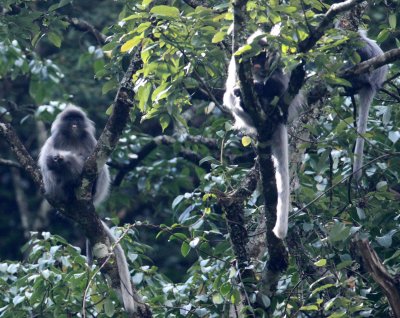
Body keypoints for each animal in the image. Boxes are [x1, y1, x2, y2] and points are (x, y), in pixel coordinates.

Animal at [39, 105, 136, 314]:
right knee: (51, 172)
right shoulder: (54, 140)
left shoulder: (91, 142)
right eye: (70, 120)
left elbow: (91, 161)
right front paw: (59, 160)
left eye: (77, 119)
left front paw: (67, 161)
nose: (75, 123)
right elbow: (47, 160)